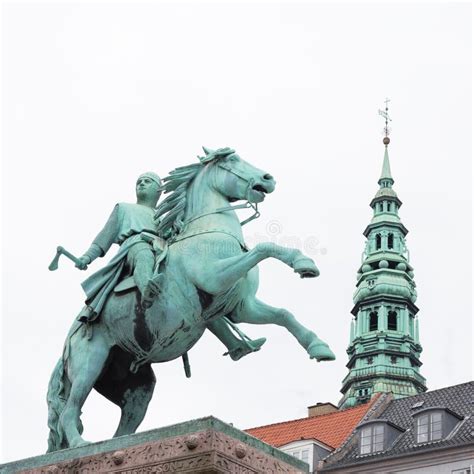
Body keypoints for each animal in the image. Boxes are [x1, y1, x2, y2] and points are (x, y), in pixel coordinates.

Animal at [44, 147, 334, 452]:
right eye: (231, 159)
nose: (268, 179)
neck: (210, 232)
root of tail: (69, 341)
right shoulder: (216, 277)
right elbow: (264, 247)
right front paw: (303, 261)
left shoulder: (240, 307)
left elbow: (283, 314)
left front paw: (319, 347)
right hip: (90, 363)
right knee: (69, 412)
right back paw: (80, 445)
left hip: (135, 387)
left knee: (122, 428)